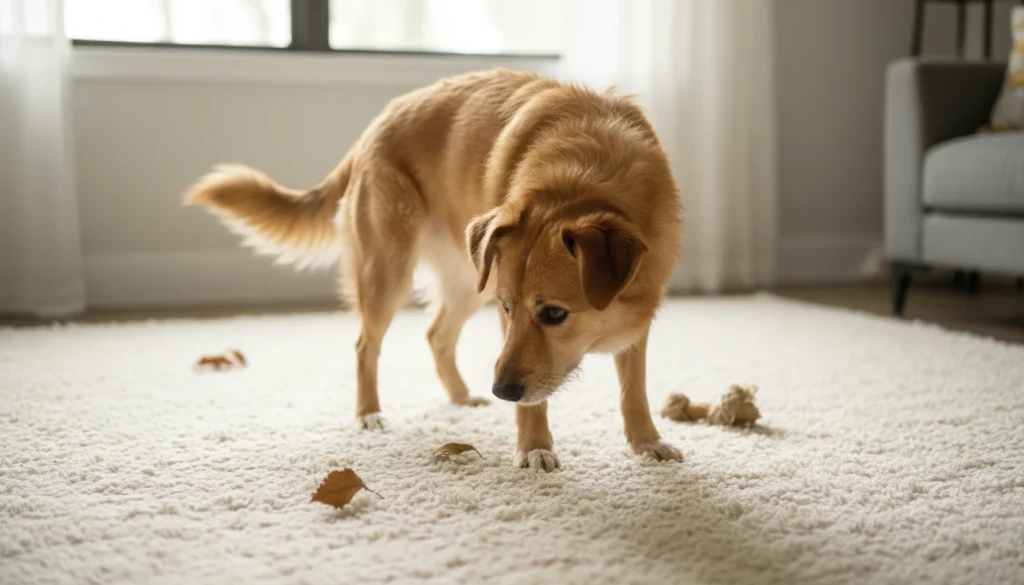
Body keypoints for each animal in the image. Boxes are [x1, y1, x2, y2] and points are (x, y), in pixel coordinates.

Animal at [183, 69, 683, 471]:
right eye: (508, 308)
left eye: (555, 314)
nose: (501, 390)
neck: (587, 179)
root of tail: (375, 127)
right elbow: (537, 402)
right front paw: (534, 447)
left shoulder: (639, 311)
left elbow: (633, 389)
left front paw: (646, 442)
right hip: (390, 271)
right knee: (365, 344)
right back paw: (369, 413)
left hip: (469, 278)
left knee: (437, 335)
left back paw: (461, 396)